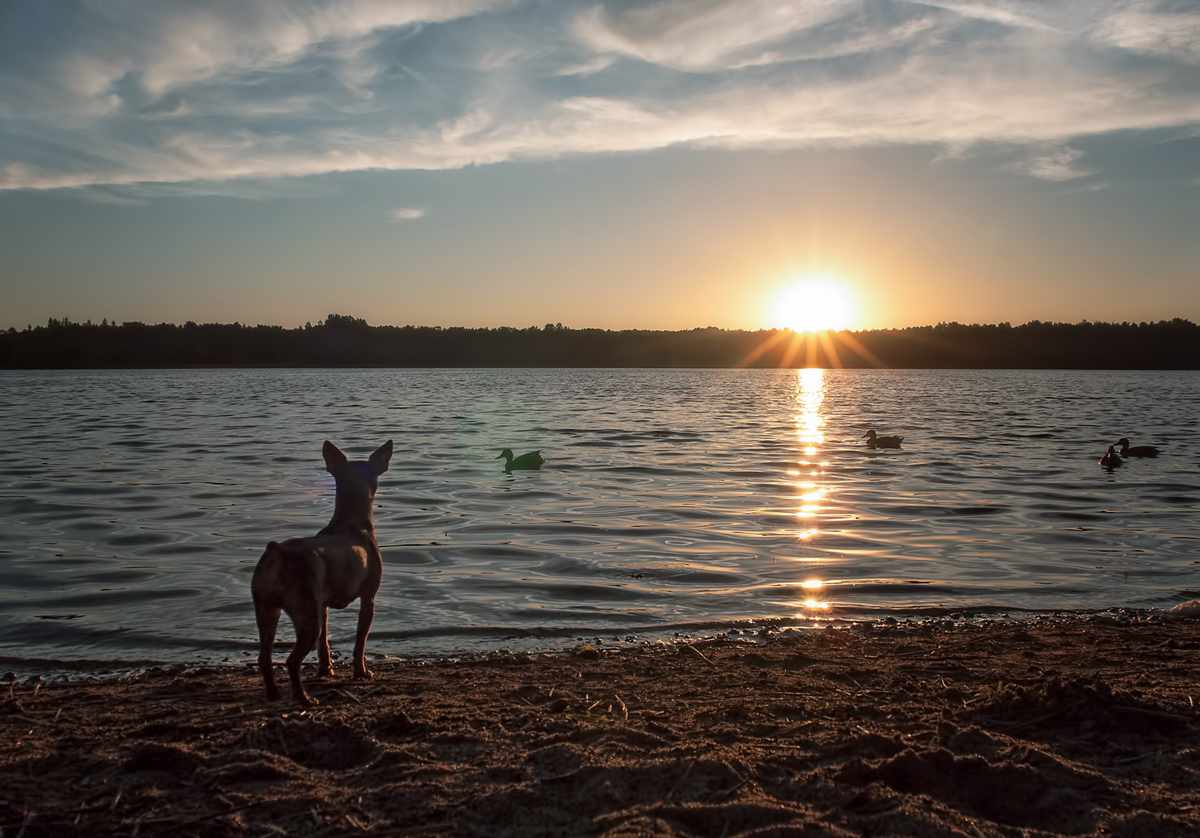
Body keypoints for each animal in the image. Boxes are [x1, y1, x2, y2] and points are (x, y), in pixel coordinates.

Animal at [252, 441, 393, 701]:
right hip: (306, 616)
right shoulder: (368, 599)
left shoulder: (323, 606)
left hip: (268, 610)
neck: (350, 522)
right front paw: (361, 673)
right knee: (291, 661)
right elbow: (360, 642)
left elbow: (324, 643)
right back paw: (303, 698)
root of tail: (277, 552)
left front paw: (325, 670)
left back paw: (274, 693)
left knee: (265, 657)